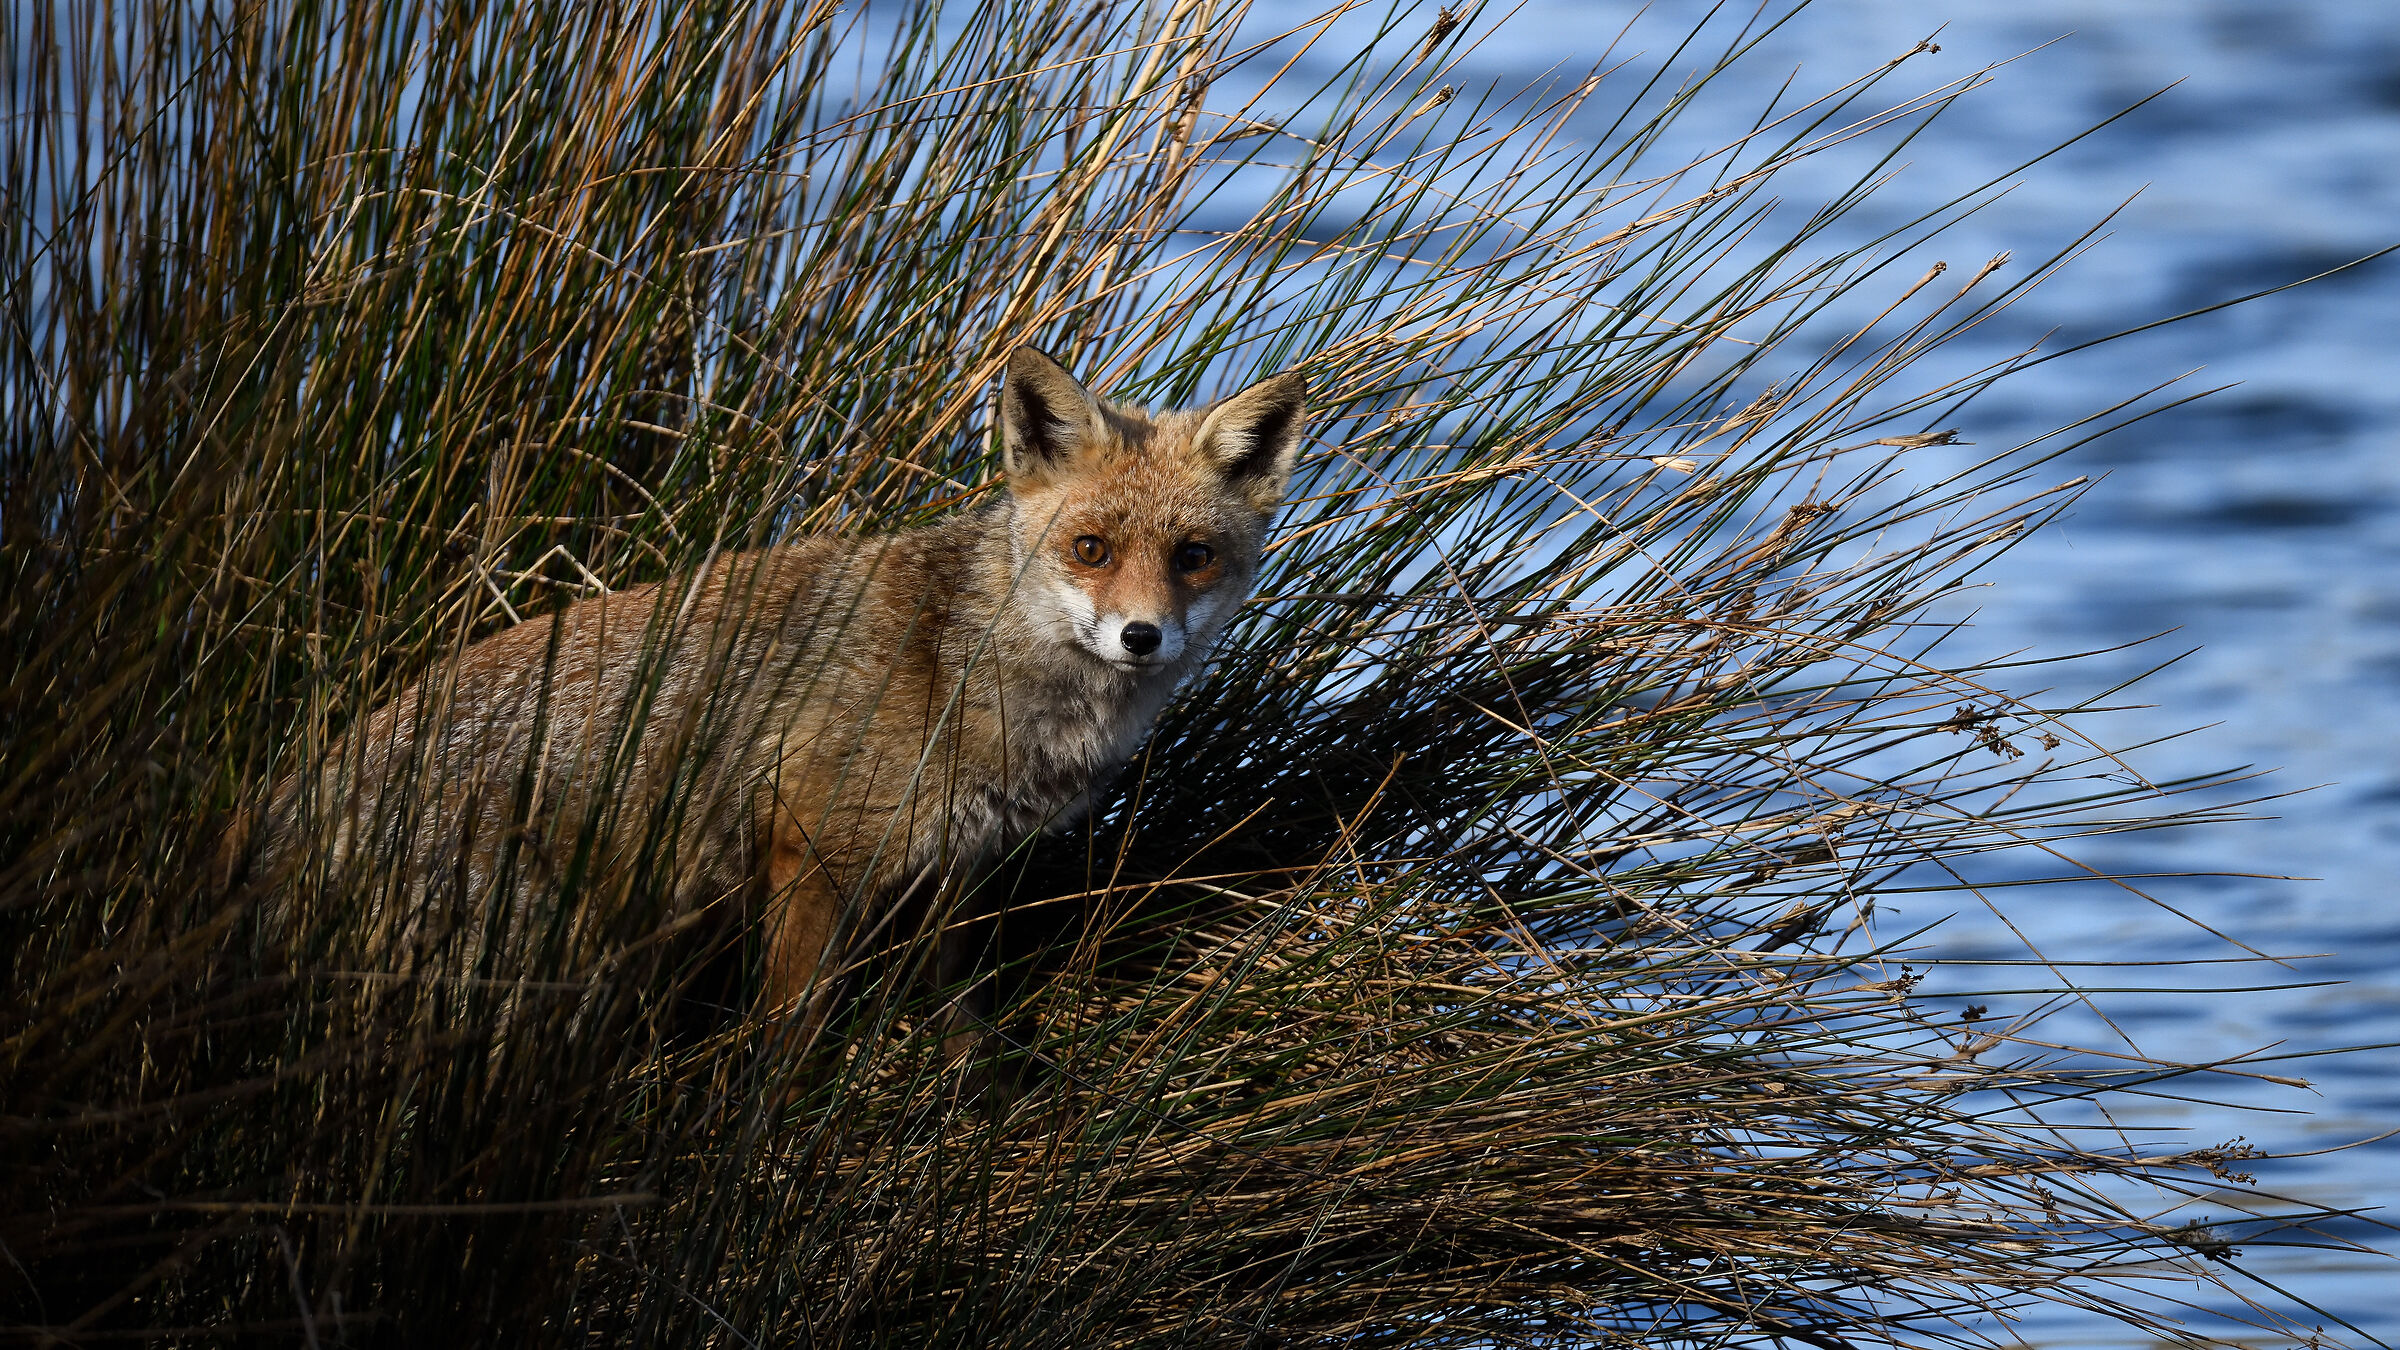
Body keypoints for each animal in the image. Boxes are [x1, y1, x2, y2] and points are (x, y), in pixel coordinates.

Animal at [243, 345, 1309, 1052]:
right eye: (1090, 549)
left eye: (1193, 556)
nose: (1142, 636)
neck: (965, 665)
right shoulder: (810, 847)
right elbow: (788, 1036)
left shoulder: (953, 866)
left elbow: (956, 1013)